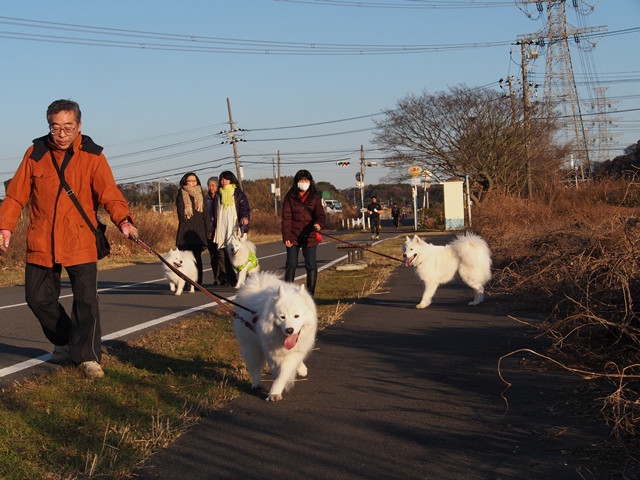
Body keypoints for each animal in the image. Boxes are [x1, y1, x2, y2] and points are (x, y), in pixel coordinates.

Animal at [232, 270, 318, 402]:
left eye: (296, 316)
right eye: (282, 317)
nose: (289, 330)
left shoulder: (295, 352)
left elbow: (284, 373)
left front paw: (276, 390)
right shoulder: (270, 353)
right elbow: (277, 373)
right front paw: (275, 392)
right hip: (252, 347)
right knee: (254, 367)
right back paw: (257, 383)